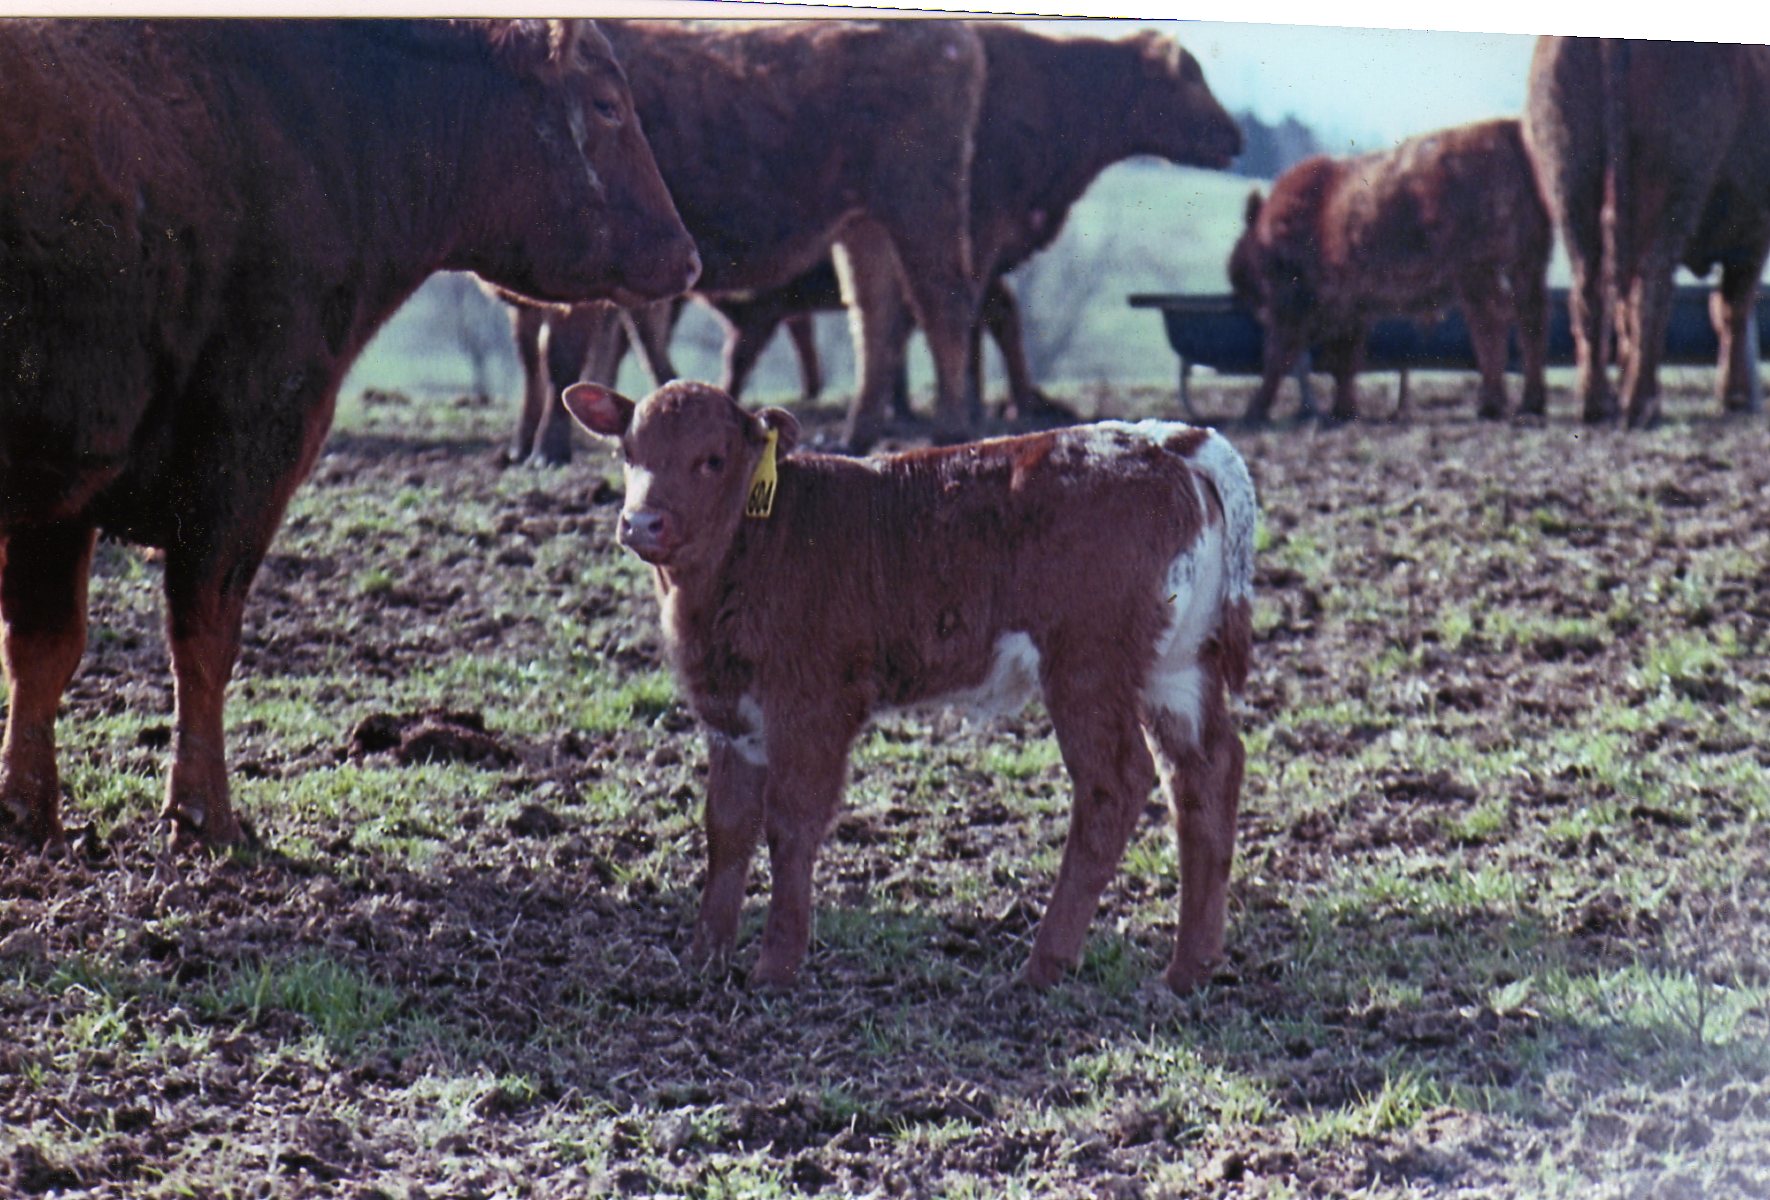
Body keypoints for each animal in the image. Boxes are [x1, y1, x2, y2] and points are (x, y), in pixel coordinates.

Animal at [0, 14, 697, 849]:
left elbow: (43, 647)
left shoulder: (66, 486)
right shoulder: (244, 458)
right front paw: (207, 816)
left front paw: (27, 811)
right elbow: (202, 640)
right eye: (606, 106)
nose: (688, 257)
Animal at [506, 23, 991, 467]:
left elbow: (561, 356)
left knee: (943, 305)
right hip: (864, 226)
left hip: (922, 210)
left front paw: (548, 452)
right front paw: (523, 446)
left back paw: (949, 431)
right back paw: (855, 438)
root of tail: (955, 36)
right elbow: (540, 356)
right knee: (875, 319)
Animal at [559, 382, 1253, 998]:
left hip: (1087, 665)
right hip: (1176, 668)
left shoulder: (810, 707)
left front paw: (776, 965)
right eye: (628, 453)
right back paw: (1186, 970)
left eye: (712, 458)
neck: (760, 541)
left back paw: (1042, 965)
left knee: (1115, 783)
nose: (642, 523)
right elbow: (726, 827)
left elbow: (791, 823)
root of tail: (1166, 440)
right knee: (1206, 773)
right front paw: (706, 957)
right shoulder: (731, 715)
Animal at [1231, 118, 1550, 428]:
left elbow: (1279, 356)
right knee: (1530, 322)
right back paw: (1530, 404)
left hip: (1479, 274)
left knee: (1492, 327)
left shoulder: (1290, 303)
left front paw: (1254, 411)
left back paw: (1491, 406)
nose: (1238, 280)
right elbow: (1345, 359)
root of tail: (1506, 130)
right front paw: (1343, 410)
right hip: (1527, 266)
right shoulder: (1354, 309)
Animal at [1522, 37, 1770, 428]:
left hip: (1569, 185)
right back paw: (1641, 404)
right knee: (1652, 290)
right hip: (1673, 189)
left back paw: (1599, 402)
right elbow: (1733, 309)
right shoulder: (1754, 235)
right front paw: (1734, 397)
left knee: (1591, 291)